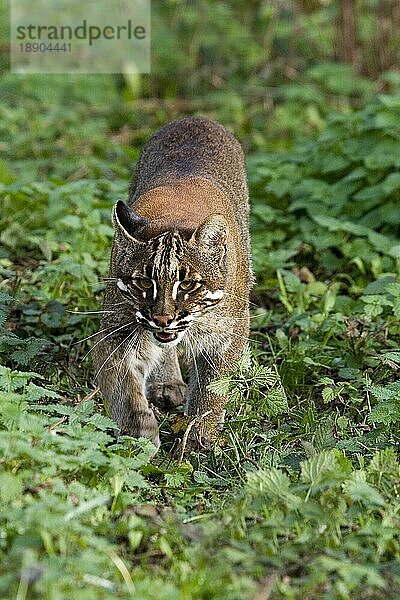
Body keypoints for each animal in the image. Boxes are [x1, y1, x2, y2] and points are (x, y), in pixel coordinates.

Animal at [92, 117, 252, 452]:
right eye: (142, 281)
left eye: (188, 285)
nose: (163, 318)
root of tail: (195, 118)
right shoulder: (117, 329)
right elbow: (121, 382)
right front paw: (139, 433)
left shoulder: (230, 330)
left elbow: (212, 386)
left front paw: (198, 434)